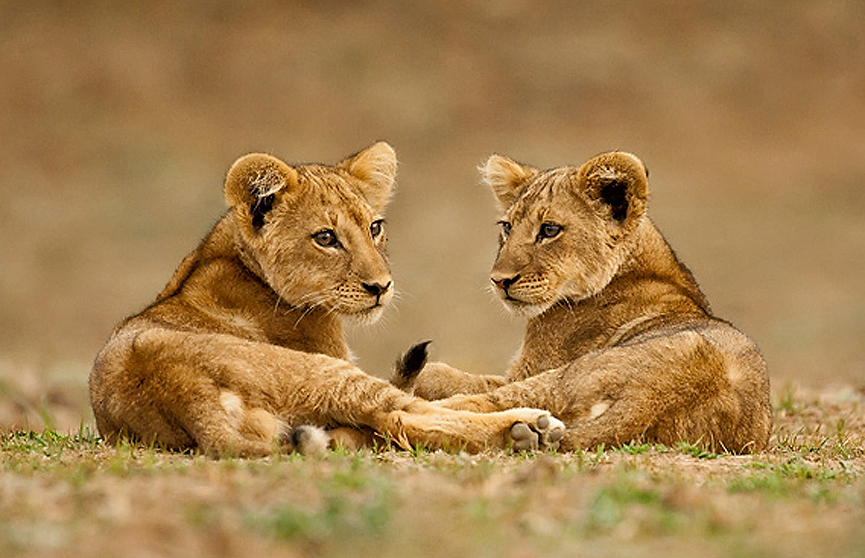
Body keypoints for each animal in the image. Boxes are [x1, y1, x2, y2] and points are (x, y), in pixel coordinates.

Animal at [89, 142, 565, 457]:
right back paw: (527, 424)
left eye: (374, 227)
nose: (381, 287)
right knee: (404, 414)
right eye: (325, 238)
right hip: (320, 371)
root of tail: (181, 391)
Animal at [393, 151, 772, 454]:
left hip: (562, 377)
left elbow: (447, 376)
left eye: (549, 230)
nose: (499, 280)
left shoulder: (529, 368)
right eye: (507, 227)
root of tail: (652, 398)